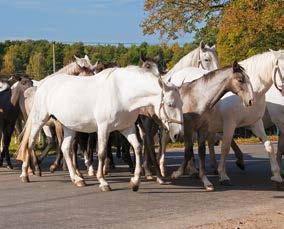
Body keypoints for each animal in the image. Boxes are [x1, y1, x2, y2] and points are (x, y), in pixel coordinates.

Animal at [17, 65, 184, 191]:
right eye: (170, 104)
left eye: (182, 104)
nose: (178, 134)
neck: (122, 93)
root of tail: (43, 83)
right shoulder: (104, 128)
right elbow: (102, 153)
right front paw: (103, 182)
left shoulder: (127, 128)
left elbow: (137, 148)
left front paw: (135, 182)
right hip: (40, 120)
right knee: (30, 143)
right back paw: (26, 174)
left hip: (69, 126)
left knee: (65, 148)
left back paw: (77, 179)